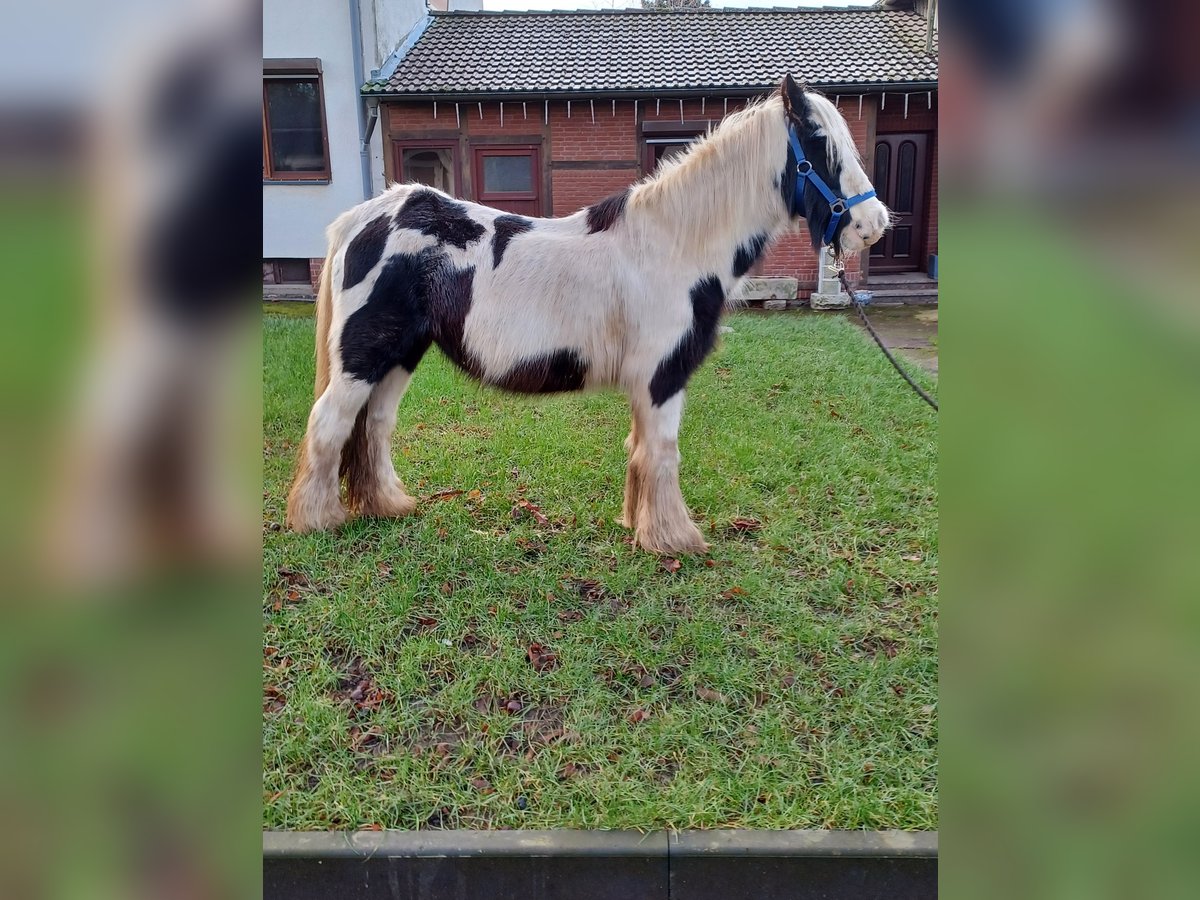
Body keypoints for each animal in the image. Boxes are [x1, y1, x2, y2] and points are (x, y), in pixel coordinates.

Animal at [285, 75, 888, 556]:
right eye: (819, 144)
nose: (873, 224)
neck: (674, 245)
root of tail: (361, 218)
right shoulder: (663, 376)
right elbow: (662, 452)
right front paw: (675, 540)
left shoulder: (649, 383)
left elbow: (640, 451)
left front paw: (638, 527)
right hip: (362, 357)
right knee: (330, 422)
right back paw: (317, 520)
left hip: (399, 354)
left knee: (373, 425)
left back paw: (387, 505)